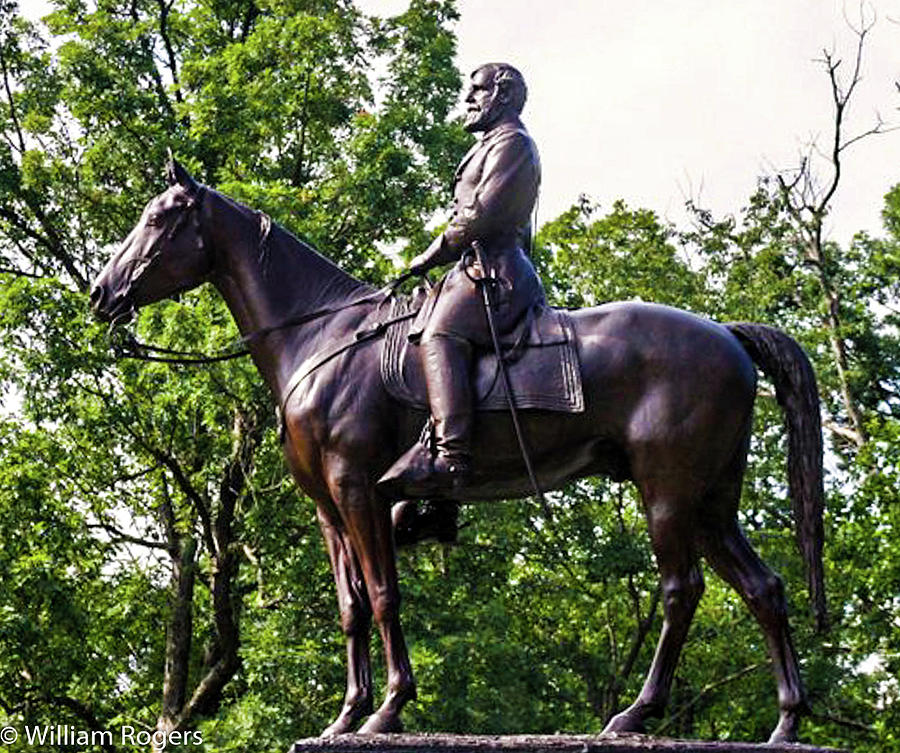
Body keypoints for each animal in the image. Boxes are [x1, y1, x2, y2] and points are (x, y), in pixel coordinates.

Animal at [89, 162, 824, 744]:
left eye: (158, 219)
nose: (101, 294)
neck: (320, 336)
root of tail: (725, 336)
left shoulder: (357, 488)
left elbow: (385, 595)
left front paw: (387, 710)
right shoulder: (330, 507)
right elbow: (352, 605)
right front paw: (344, 715)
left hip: (666, 491)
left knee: (681, 590)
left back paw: (635, 715)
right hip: (710, 500)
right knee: (763, 587)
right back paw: (786, 722)